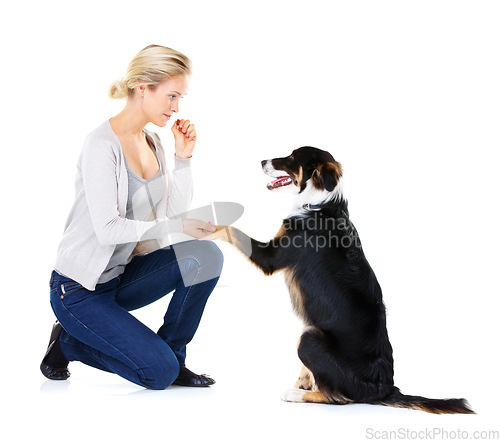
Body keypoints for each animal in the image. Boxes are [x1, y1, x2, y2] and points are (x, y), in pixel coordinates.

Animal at [210, 147, 472, 414]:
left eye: (292, 157)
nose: (262, 161)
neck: (319, 204)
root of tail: (385, 389)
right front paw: (304, 380)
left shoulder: (269, 257)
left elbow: (229, 229)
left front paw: (200, 225)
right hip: (310, 328)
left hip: (309, 340)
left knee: (337, 397)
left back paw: (297, 394)